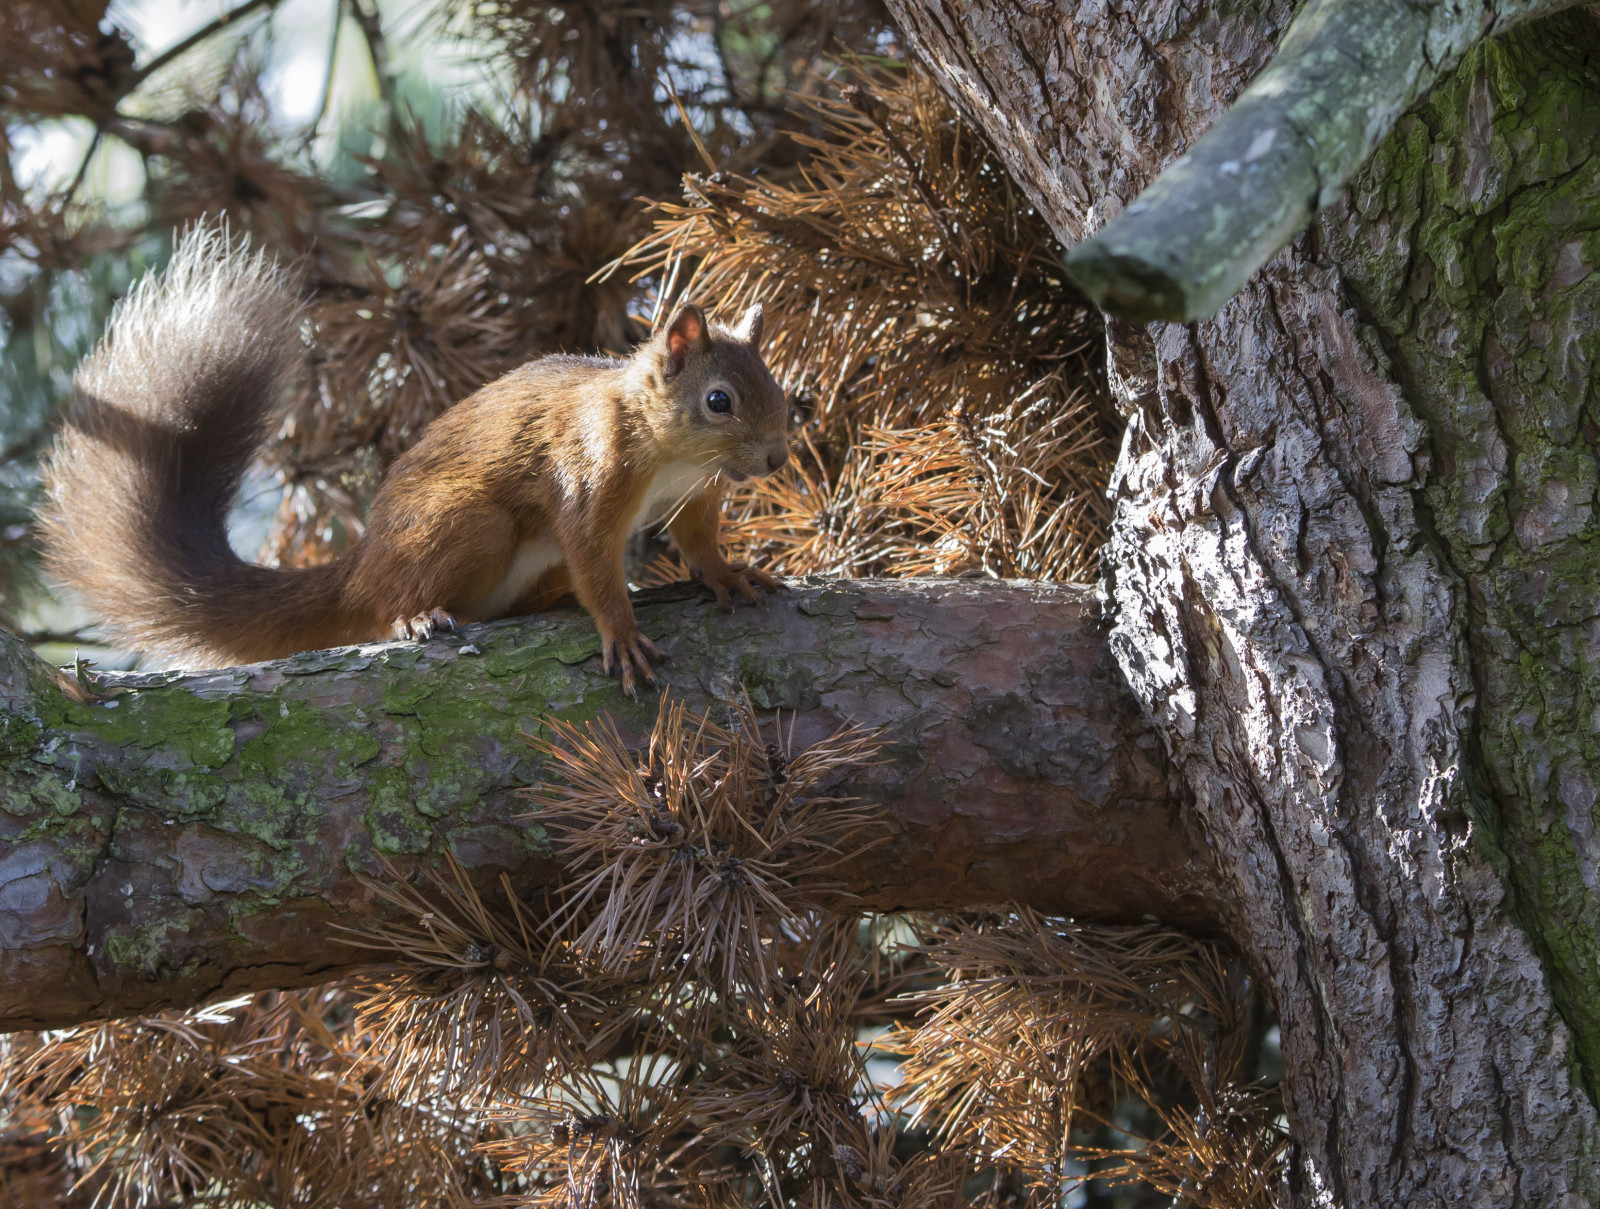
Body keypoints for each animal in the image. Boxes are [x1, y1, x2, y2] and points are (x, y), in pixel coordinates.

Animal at [38, 225, 789, 694]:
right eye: (719, 400)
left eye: (779, 387)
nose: (778, 457)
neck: (669, 452)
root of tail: (361, 564)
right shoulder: (590, 474)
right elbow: (594, 559)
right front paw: (624, 631)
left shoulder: (694, 494)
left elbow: (698, 540)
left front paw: (729, 574)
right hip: (465, 525)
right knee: (388, 608)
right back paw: (416, 617)